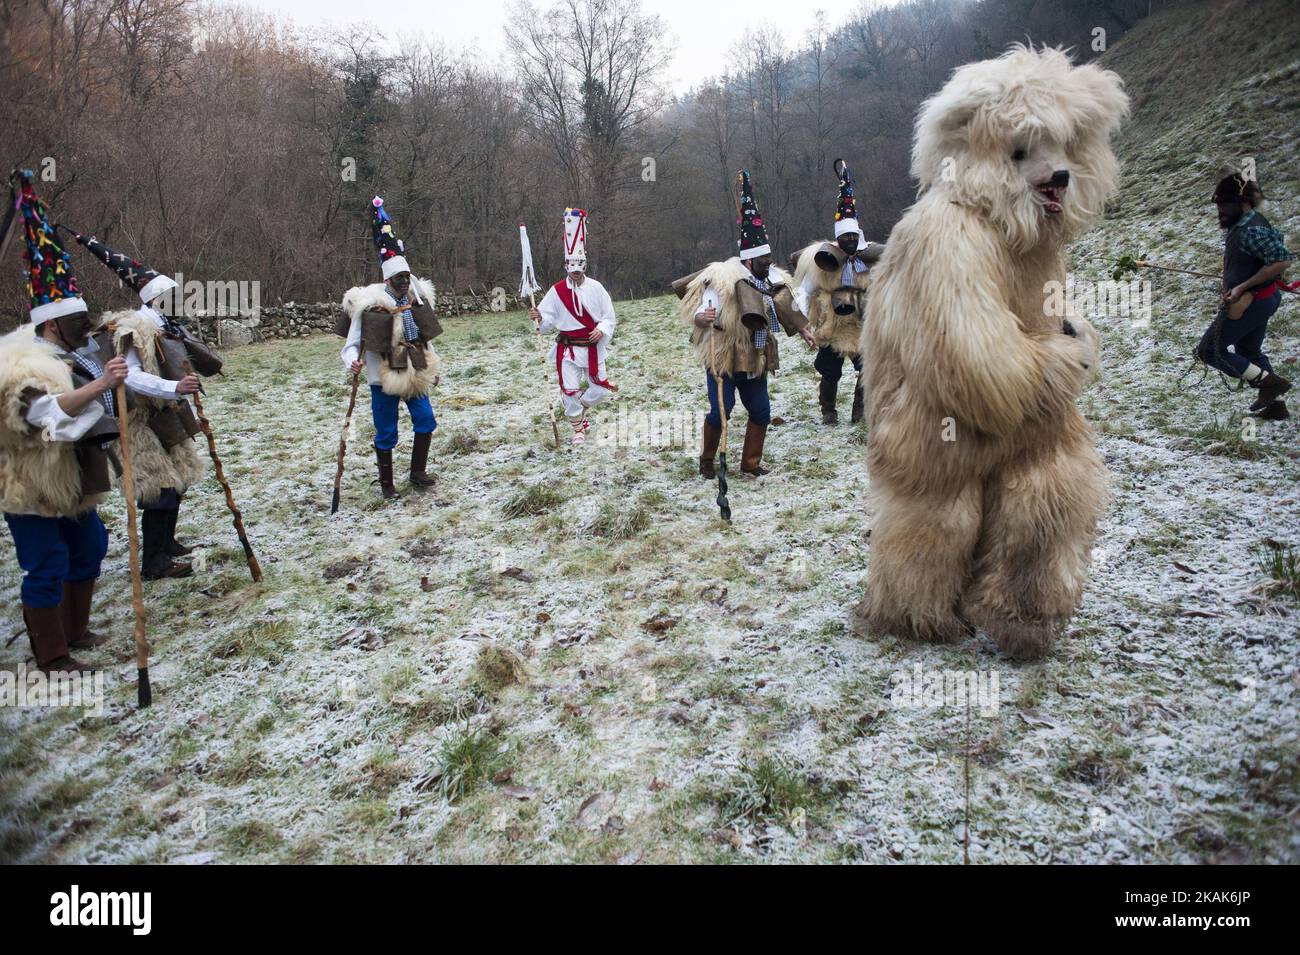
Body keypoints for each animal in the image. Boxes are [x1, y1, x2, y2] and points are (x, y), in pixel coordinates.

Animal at [855, 46, 1129, 658]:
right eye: (1019, 150)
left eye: (1063, 143)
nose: (1059, 177)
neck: (995, 218)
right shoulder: (949, 251)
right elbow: (979, 352)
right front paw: (1072, 352)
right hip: (930, 447)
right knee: (938, 523)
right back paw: (916, 619)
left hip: (1024, 443)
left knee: (1042, 494)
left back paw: (1019, 620)